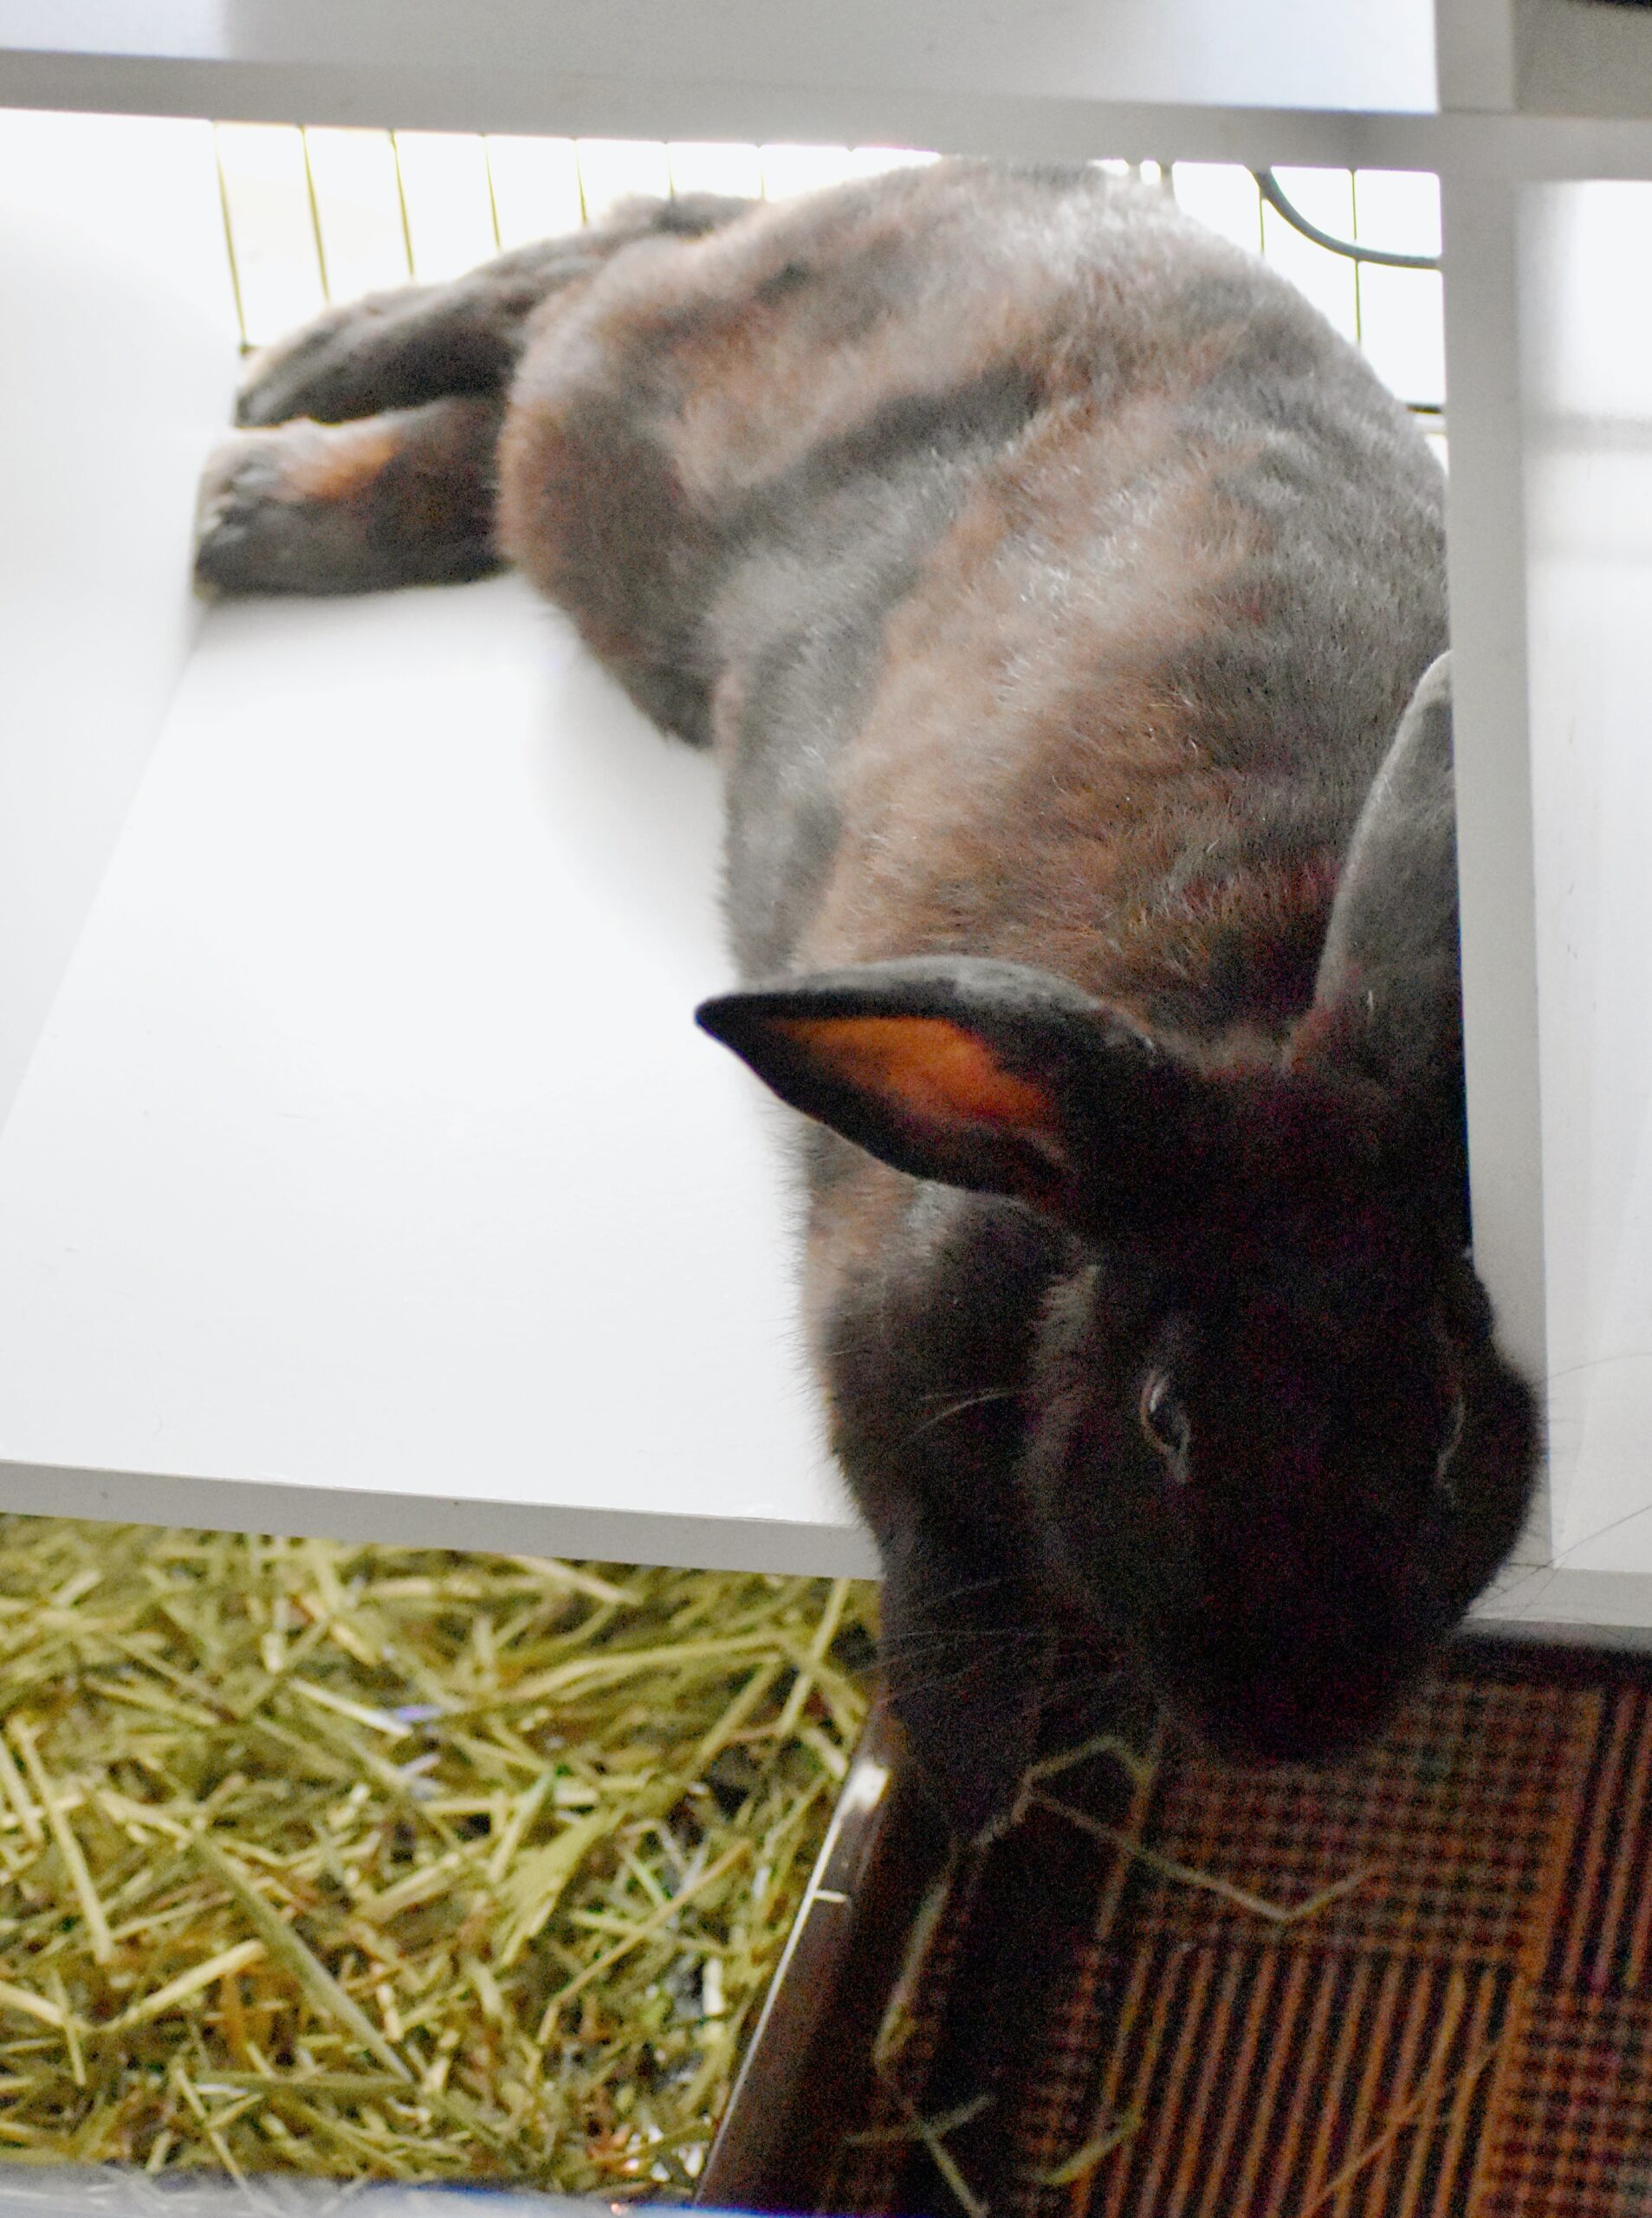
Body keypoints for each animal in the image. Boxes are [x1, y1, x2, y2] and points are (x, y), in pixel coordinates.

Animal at [194, 159, 1537, 1838]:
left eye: (1446, 1429)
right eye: (1166, 1417)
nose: (1294, 1728)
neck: (1249, 1013)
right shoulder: (872, 1357)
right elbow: (940, 1571)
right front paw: (963, 1774)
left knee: (566, 333)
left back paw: (250, 484)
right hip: (627, 468)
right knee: (598, 261)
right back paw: (285, 410)